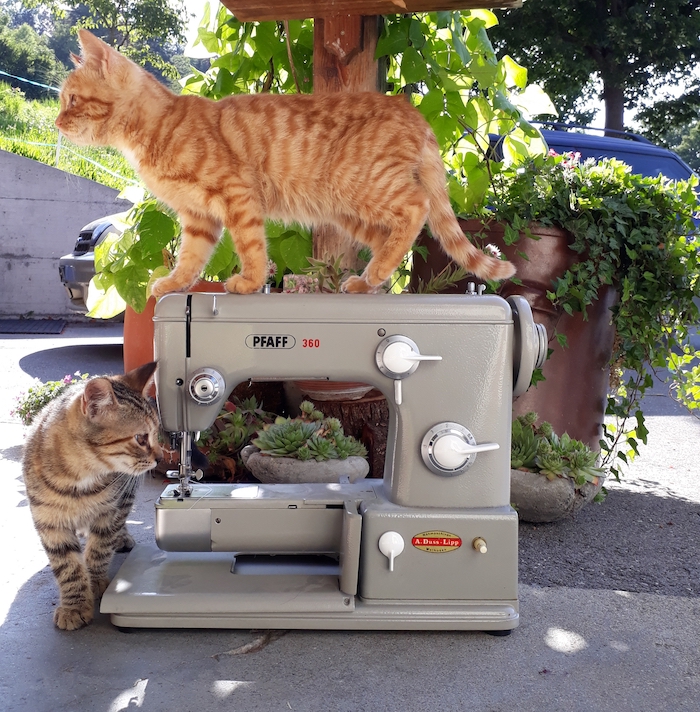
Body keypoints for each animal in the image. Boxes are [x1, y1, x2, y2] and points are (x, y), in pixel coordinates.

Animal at [22, 362, 161, 630]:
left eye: (157, 433)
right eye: (141, 438)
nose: (160, 457)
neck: (80, 479)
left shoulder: (110, 512)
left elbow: (99, 549)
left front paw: (95, 581)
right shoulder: (49, 521)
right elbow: (68, 566)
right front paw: (74, 605)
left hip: (126, 493)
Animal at [55, 30, 515, 297]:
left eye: (72, 100)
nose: (57, 122)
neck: (154, 128)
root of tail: (414, 112)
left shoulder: (237, 196)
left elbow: (250, 246)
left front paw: (250, 282)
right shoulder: (198, 218)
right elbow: (190, 258)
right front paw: (172, 283)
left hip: (361, 186)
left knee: (417, 209)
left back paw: (374, 273)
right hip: (348, 212)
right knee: (392, 236)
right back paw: (368, 279)